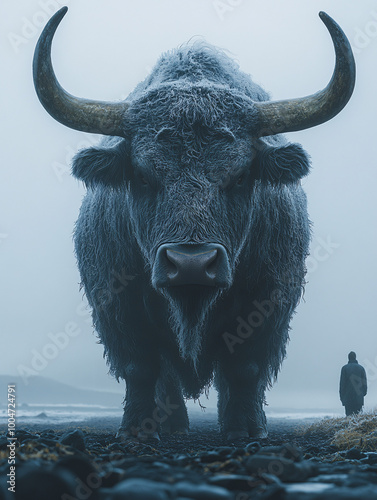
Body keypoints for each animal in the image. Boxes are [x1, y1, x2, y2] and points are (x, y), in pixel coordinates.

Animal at [33, 5, 354, 440]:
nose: (191, 264)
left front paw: (246, 428)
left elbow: (244, 368)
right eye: (142, 177)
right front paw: (136, 428)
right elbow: (141, 367)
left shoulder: (268, 301)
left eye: (240, 177)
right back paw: (170, 424)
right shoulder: (117, 302)